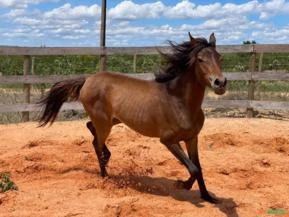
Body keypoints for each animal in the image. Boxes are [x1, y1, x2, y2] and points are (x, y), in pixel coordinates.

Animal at [38, 32, 227, 203]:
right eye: (200, 59)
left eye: (219, 57)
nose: (220, 83)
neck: (178, 101)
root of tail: (87, 79)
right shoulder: (168, 140)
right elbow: (193, 168)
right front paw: (182, 185)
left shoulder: (192, 138)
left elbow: (198, 167)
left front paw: (208, 197)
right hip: (104, 123)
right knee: (96, 143)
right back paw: (105, 175)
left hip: (112, 120)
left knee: (90, 128)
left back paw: (107, 158)